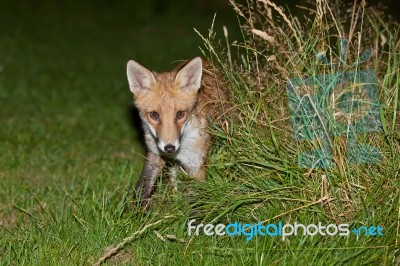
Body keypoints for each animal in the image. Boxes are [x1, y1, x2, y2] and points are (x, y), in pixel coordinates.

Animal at [126, 57, 225, 203]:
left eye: (180, 114)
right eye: (154, 115)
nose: (169, 148)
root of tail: (205, 60)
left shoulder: (196, 167)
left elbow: (195, 201)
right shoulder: (155, 155)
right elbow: (141, 189)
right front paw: (134, 209)